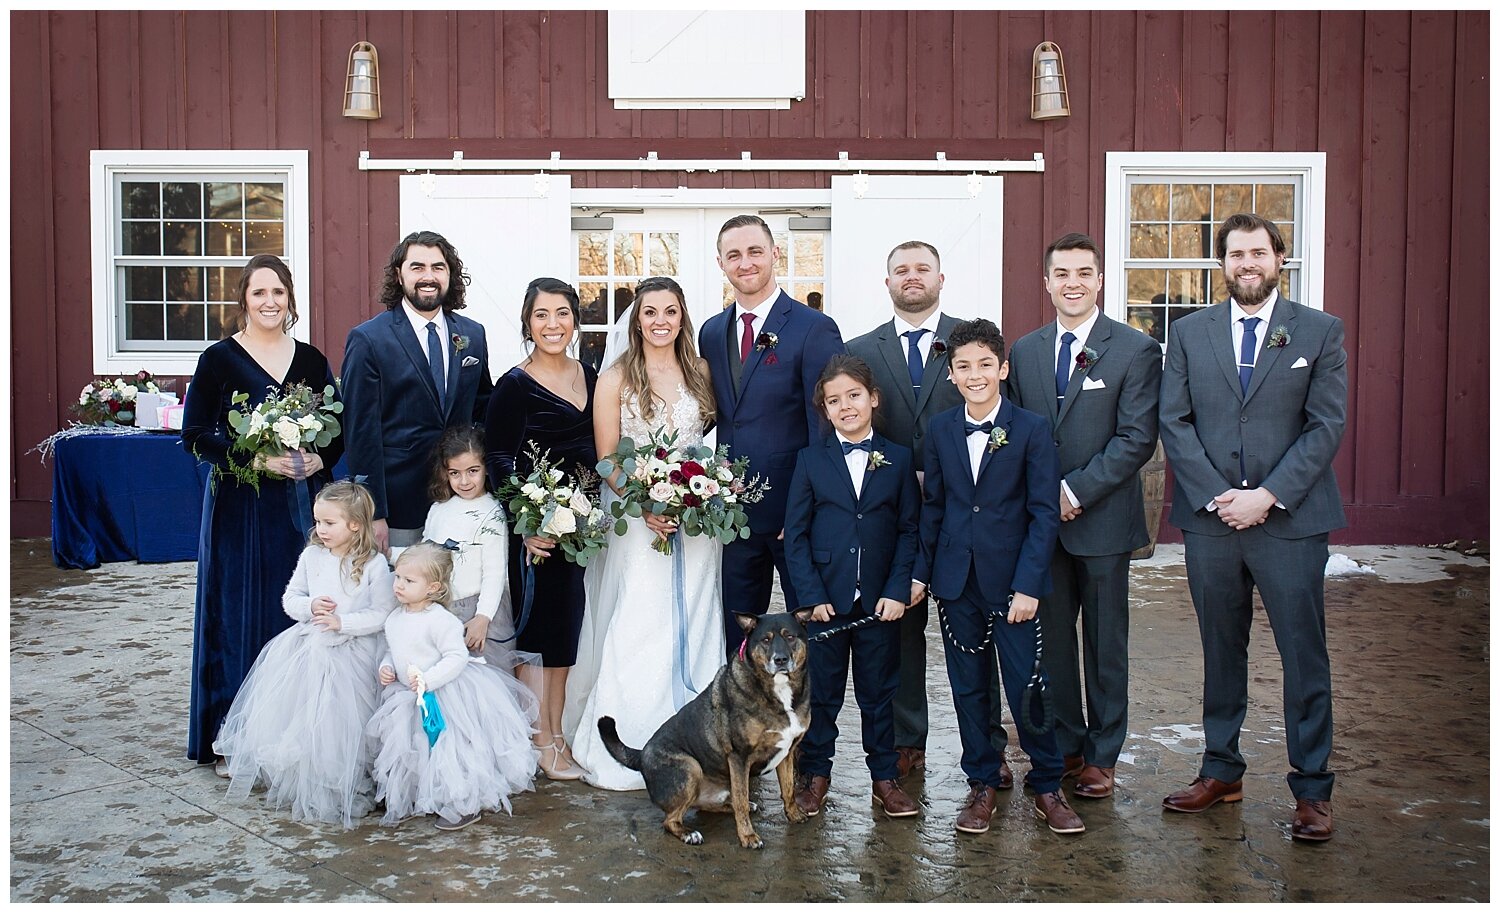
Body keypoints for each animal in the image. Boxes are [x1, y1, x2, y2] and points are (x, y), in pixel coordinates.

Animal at [597, 608, 816, 851]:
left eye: (790, 637)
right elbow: (741, 799)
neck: (777, 690)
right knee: (670, 820)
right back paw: (688, 833)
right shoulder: (738, 757)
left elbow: (787, 789)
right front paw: (748, 836)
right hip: (690, 766)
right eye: (765, 640)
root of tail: (642, 754)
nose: (780, 660)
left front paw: (794, 814)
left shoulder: (787, 752)